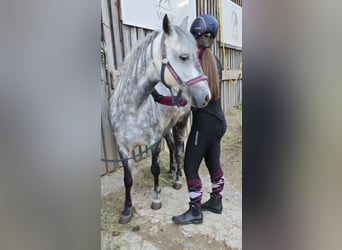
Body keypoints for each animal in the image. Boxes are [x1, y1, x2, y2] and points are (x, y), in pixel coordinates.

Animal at [111, 14, 210, 224]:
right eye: (183, 57)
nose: (206, 96)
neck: (132, 107)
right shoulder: (123, 148)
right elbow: (127, 179)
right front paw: (127, 210)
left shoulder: (154, 142)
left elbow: (154, 168)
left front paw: (156, 199)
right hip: (166, 129)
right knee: (172, 147)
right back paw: (171, 171)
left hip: (179, 124)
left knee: (179, 150)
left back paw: (178, 178)